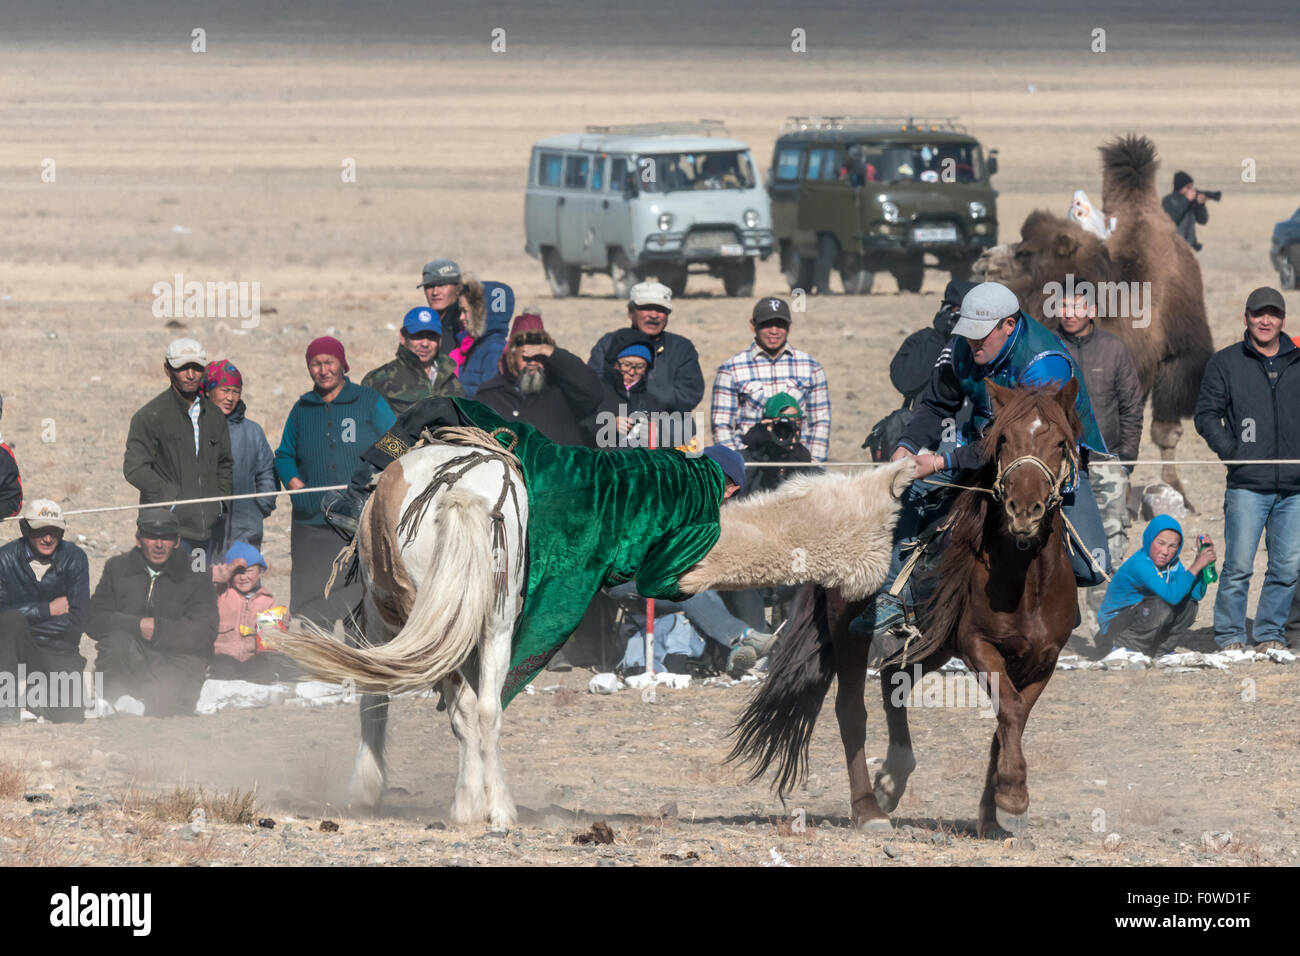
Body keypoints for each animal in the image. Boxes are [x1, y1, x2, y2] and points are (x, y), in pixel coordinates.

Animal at [279, 434, 527, 832]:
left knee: (463, 709)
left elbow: (373, 696)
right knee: (487, 708)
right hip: (496, 626)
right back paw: (497, 807)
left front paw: (364, 788)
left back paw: (466, 803)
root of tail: (462, 491)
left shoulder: (374, 624)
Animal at [733, 382, 1086, 837]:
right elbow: (1008, 708)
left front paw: (993, 812)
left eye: (1060, 443)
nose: (1024, 510)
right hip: (849, 630)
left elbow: (1012, 718)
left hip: (930, 643)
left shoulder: (1043, 659)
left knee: (891, 681)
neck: (1028, 582)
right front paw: (1012, 799)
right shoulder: (979, 647)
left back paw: (892, 779)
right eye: (1004, 439)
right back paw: (869, 808)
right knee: (851, 709)